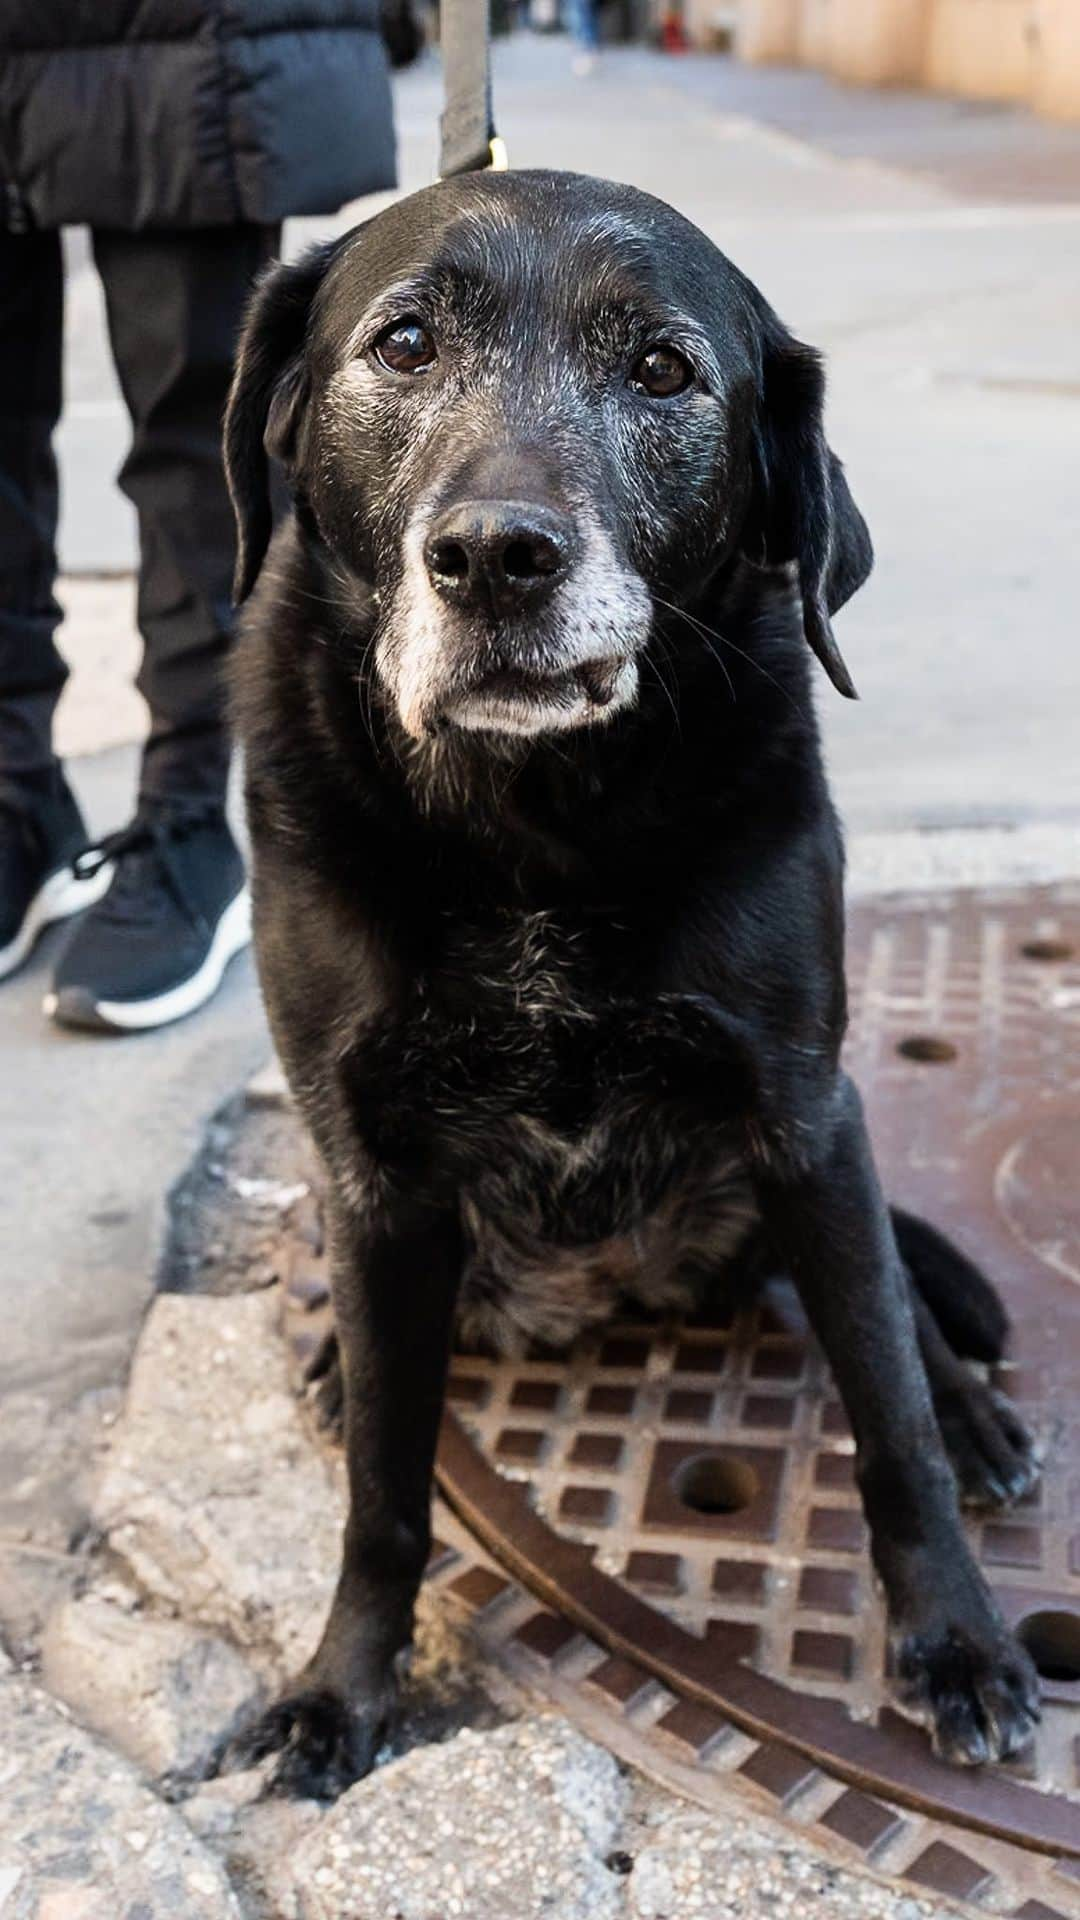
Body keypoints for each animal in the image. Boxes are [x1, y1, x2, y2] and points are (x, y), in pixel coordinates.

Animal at [222, 168, 1037, 1797]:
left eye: (664, 371)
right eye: (404, 343)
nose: (495, 555)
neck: (538, 826)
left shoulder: (805, 1111)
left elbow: (890, 1418)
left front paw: (960, 1640)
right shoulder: (375, 1173)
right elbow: (386, 1492)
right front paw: (344, 1687)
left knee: (899, 1318)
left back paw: (979, 1417)